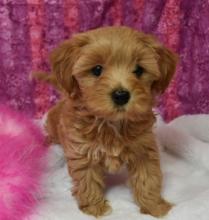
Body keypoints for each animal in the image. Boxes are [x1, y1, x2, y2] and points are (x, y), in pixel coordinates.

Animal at [43, 26, 177, 217]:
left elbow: (148, 177)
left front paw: (155, 207)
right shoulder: (82, 150)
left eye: (139, 70)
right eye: (97, 69)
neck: (112, 123)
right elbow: (87, 179)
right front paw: (94, 208)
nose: (121, 95)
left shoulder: (143, 147)